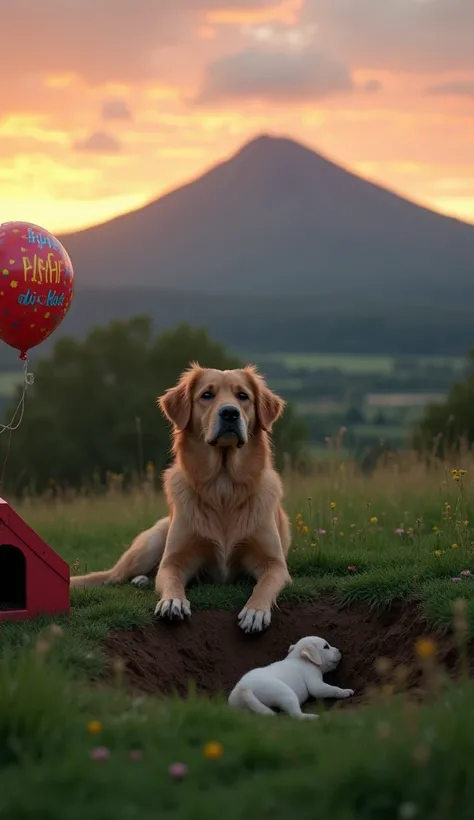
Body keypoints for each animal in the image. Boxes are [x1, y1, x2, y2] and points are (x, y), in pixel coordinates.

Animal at [71, 366, 292, 636]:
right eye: (207, 395)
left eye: (243, 396)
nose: (230, 412)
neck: (223, 487)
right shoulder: (174, 560)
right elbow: (170, 579)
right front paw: (172, 601)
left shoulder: (275, 564)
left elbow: (265, 584)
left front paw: (255, 611)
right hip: (151, 542)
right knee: (113, 577)